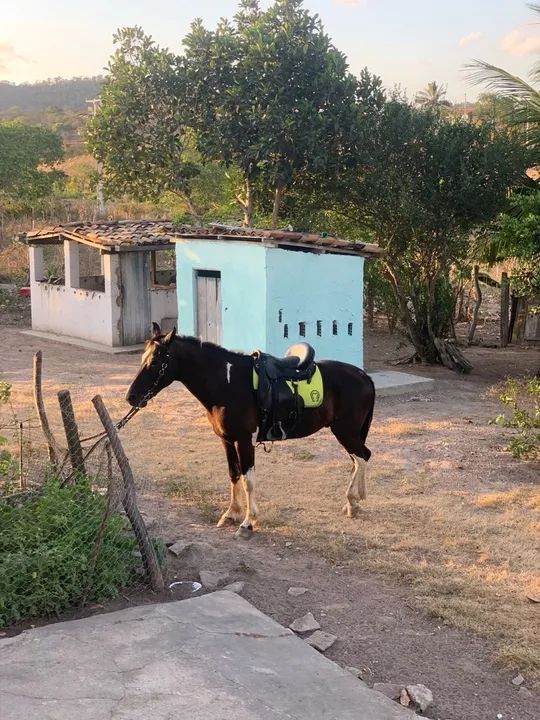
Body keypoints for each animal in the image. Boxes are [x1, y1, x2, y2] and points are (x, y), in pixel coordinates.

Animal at [126, 323, 375, 539]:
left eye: (156, 362)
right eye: (143, 359)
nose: (131, 397)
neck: (228, 383)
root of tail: (363, 376)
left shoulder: (245, 441)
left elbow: (248, 481)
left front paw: (247, 522)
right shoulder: (227, 440)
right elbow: (233, 474)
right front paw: (231, 514)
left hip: (345, 431)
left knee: (362, 457)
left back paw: (352, 500)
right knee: (360, 458)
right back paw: (354, 501)